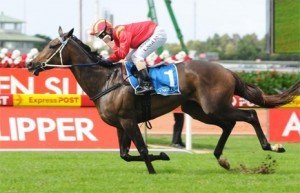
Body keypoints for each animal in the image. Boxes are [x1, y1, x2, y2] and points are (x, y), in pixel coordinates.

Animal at [27, 27, 298, 174]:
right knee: (229, 124)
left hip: (214, 106)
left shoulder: (129, 120)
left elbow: (142, 149)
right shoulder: (120, 124)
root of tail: (227, 70)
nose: (30, 64)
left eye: (51, 45)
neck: (105, 80)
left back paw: (272, 146)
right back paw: (221, 157)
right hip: (199, 109)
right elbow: (125, 155)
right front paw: (164, 156)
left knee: (249, 115)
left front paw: (153, 169)